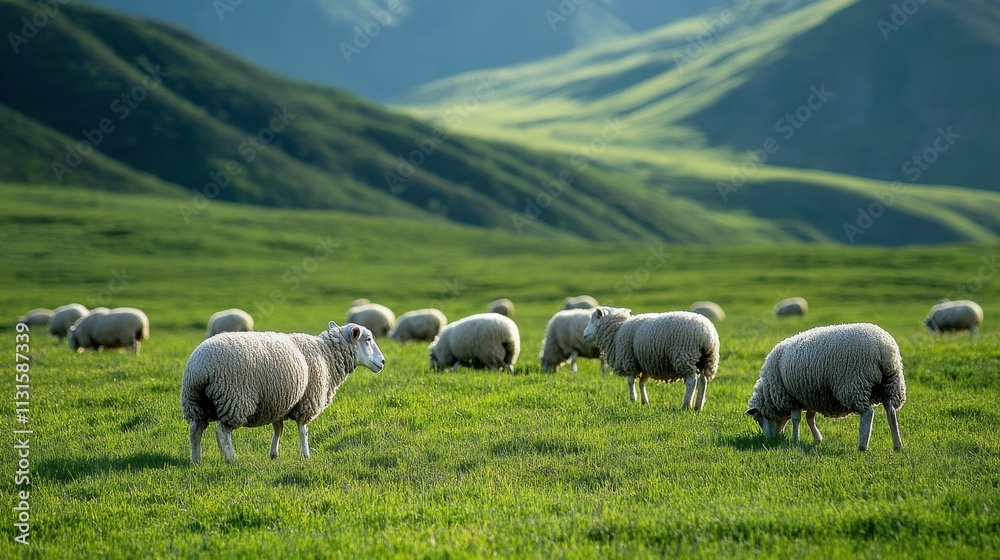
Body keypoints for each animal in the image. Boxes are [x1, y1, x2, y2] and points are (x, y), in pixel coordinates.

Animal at [181, 321, 385, 463]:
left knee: (195, 430)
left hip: (196, 402)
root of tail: (200, 369)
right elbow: (303, 430)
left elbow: (278, 429)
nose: (383, 362)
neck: (326, 356)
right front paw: (305, 454)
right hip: (235, 398)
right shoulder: (307, 400)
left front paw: (274, 454)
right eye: (368, 339)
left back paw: (196, 459)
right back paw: (231, 459)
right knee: (222, 432)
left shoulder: (280, 401)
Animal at [582, 307, 719, 408]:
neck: (617, 332)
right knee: (703, 381)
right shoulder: (644, 363)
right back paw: (698, 406)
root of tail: (707, 335)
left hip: (685, 355)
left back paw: (686, 405)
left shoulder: (629, 361)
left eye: (594, 319)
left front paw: (633, 399)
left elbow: (630, 381)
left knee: (692, 381)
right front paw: (645, 402)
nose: (584, 335)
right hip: (707, 360)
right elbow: (642, 383)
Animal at [745, 322, 906, 452]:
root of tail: (883, 349)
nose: (770, 439)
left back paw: (862, 446)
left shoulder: (792, 397)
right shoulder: (811, 395)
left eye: (759, 420)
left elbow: (796, 419)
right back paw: (897, 445)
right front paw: (817, 439)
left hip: (854, 384)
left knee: (867, 413)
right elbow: (810, 418)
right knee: (891, 411)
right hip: (892, 384)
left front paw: (795, 439)